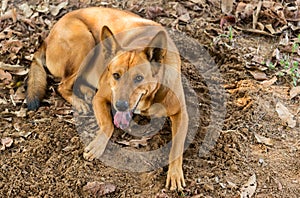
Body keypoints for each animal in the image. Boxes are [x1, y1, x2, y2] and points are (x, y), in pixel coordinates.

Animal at [27, 7, 189, 190]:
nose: (120, 106)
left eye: (139, 78)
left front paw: (174, 174)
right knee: (62, 85)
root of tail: (47, 38)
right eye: (116, 75)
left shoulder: (182, 114)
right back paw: (80, 102)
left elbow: (177, 146)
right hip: (85, 43)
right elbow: (108, 124)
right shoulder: (101, 98)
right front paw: (97, 145)